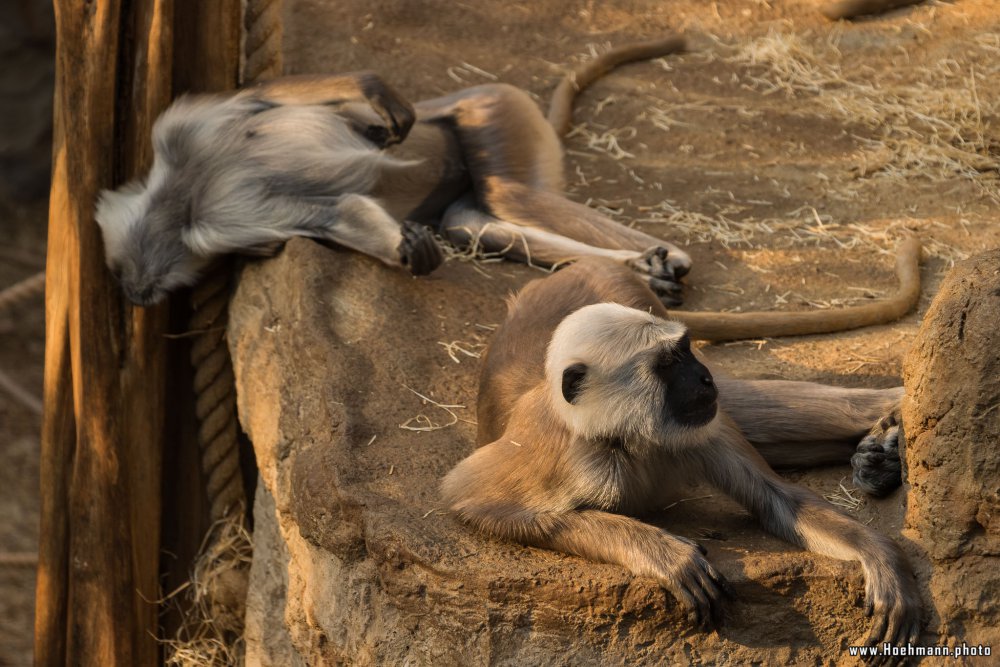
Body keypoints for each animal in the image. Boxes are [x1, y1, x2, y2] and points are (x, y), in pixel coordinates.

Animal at [444, 258, 920, 648]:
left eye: (686, 351)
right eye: (669, 364)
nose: (705, 377)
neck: (626, 435)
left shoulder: (704, 428)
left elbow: (779, 501)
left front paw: (881, 557)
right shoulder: (562, 453)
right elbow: (470, 497)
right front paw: (666, 555)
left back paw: (892, 424)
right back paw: (883, 453)